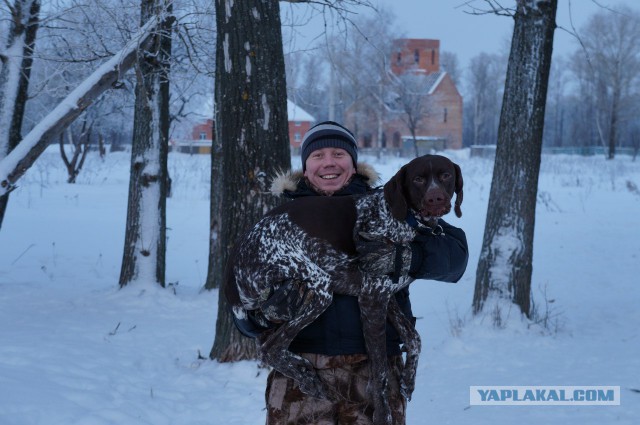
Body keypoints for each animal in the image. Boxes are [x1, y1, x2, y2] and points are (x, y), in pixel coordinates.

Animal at [222, 154, 462, 422]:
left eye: (446, 175)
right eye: (418, 179)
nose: (435, 199)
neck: (402, 221)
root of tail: (232, 264)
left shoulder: (386, 298)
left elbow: (414, 338)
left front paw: (409, 380)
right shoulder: (372, 300)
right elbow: (380, 374)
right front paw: (383, 415)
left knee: (267, 346)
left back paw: (303, 373)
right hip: (318, 287)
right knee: (270, 348)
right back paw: (306, 376)